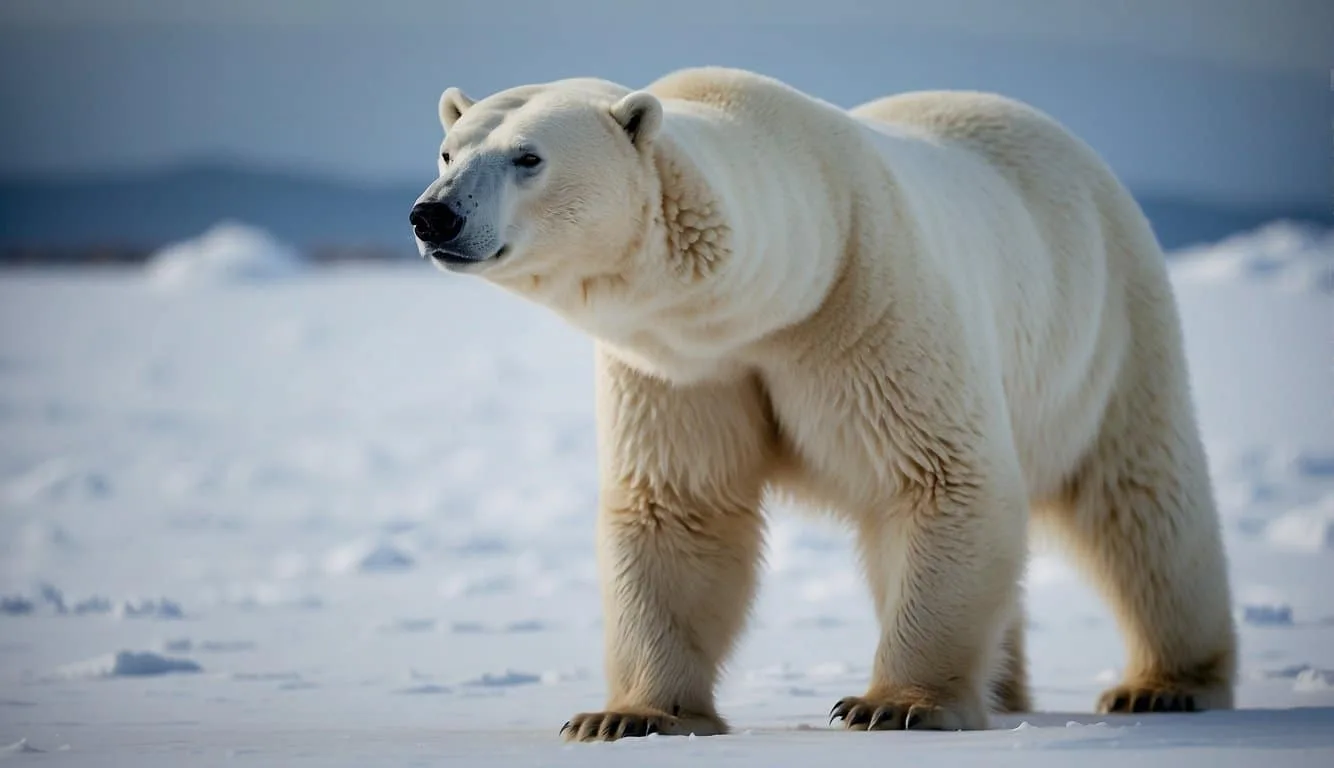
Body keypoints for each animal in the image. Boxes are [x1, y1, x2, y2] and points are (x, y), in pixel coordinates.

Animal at [409, 67, 1238, 741]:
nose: (433, 215)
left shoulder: (871, 307)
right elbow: (678, 506)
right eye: (449, 150)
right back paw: (1008, 687)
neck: (781, 287)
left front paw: (897, 704)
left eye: (528, 157)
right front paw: (629, 715)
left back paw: (1163, 685)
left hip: (1110, 327)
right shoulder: (681, 366)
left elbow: (943, 476)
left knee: (1140, 502)